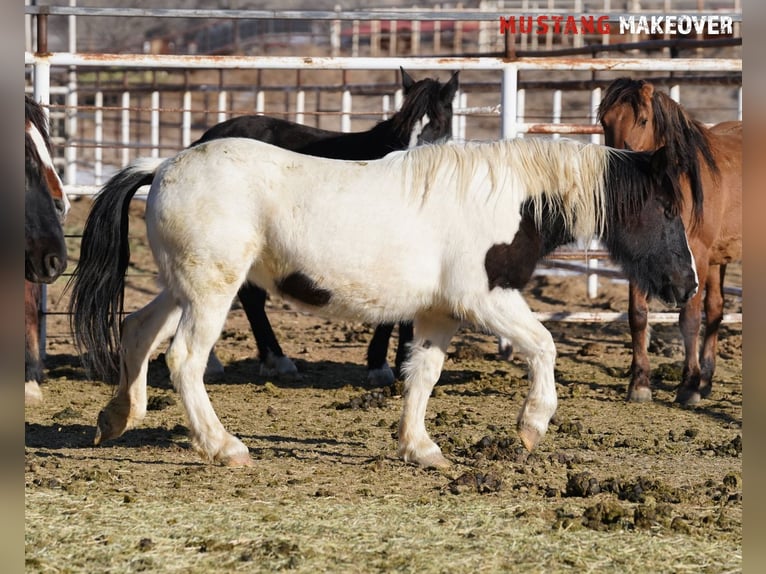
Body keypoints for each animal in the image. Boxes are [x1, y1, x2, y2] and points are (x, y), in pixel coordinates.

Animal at [69, 137, 700, 470]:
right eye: (668, 208)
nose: (687, 285)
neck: (507, 199)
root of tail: (163, 166)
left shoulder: (439, 313)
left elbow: (422, 375)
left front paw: (421, 449)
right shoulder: (486, 298)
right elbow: (544, 346)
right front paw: (531, 426)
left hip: (184, 289)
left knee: (137, 330)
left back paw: (116, 418)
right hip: (210, 293)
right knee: (184, 361)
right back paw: (224, 447)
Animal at [600, 79, 744, 408]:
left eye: (642, 120)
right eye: (604, 121)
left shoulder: (698, 257)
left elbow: (688, 318)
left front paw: (688, 387)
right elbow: (638, 315)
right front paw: (639, 384)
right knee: (715, 310)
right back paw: (707, 380)